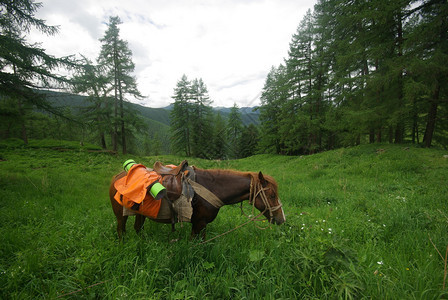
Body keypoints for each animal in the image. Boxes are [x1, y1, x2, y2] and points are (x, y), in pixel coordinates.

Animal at [109, 165, 286, 240]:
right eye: (271, 195)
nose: (281, 219)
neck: (212, 187)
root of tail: (116, 177)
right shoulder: (198, 222)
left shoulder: (203, 224)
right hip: (120, 215)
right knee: (121, 230)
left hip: (140, 213)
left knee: (137, 228)